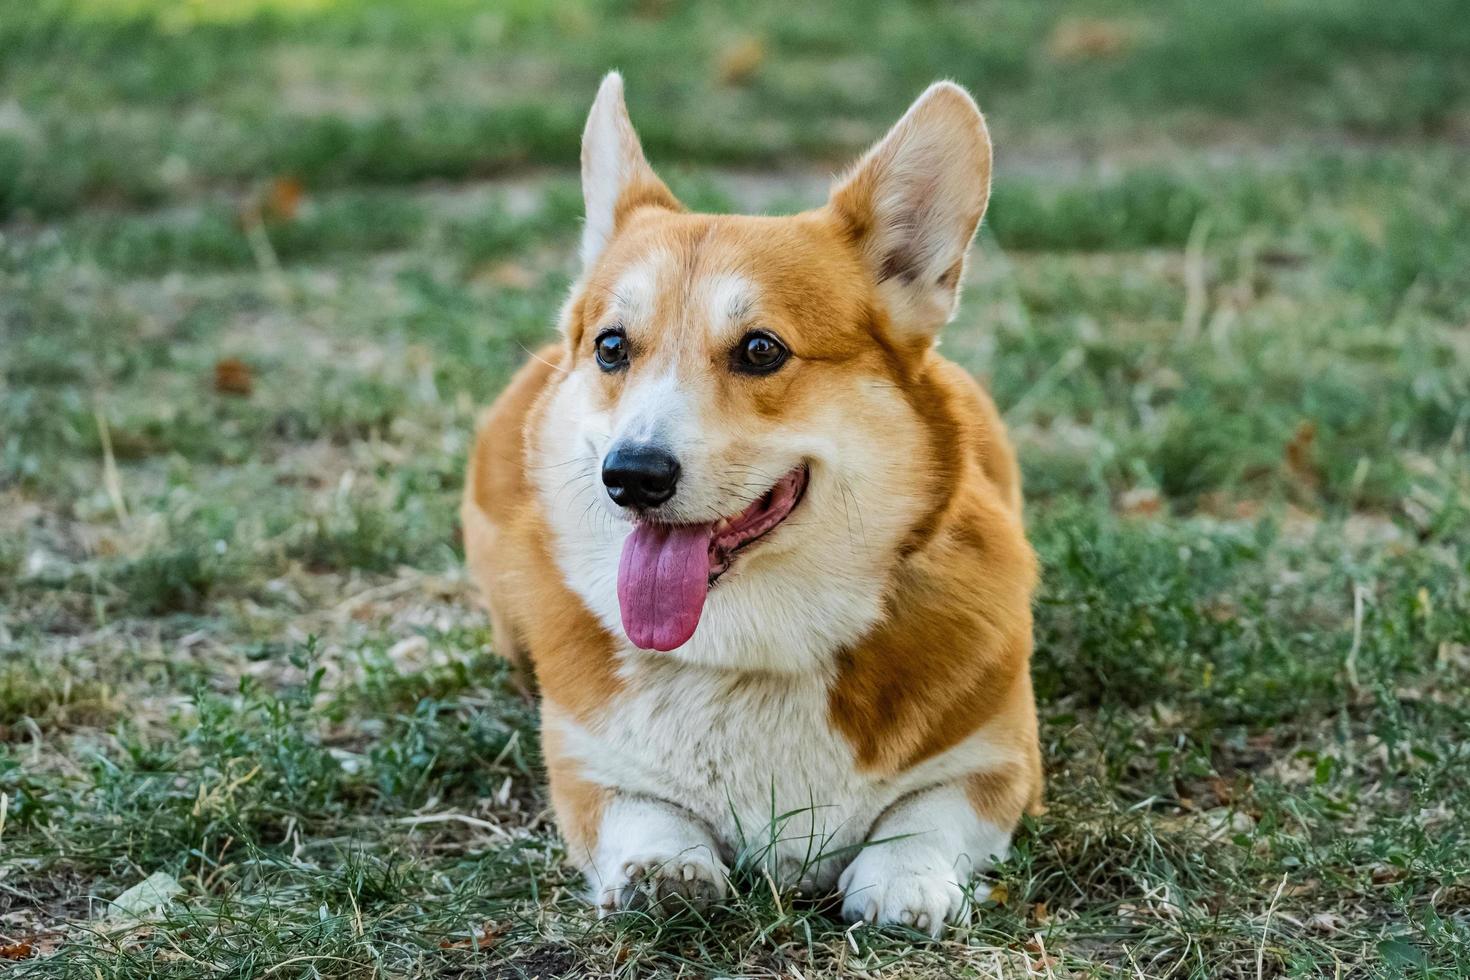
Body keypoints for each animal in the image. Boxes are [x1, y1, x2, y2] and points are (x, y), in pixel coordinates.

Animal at [464, 70, 1040, 934]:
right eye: (611, 347)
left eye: (761, 349)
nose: (631, 475)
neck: (750, 657)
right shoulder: (586, 768)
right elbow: (642, 810)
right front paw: (665, 869)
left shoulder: (1001, 759)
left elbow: (928, 816)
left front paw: (906, 880)